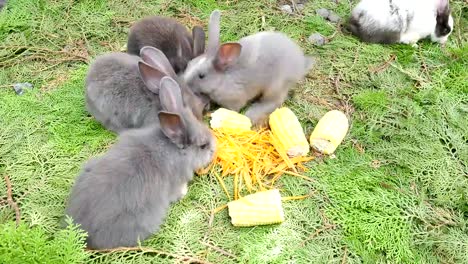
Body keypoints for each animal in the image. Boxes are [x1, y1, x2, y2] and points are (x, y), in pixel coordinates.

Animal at [183, 11, 314, 128]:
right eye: (189, 64)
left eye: (201, 76)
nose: (183, 83)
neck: (223, 79)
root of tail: (301, 65)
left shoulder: (235, 100)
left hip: (275, 87)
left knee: (274, 101)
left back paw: (252, 113)